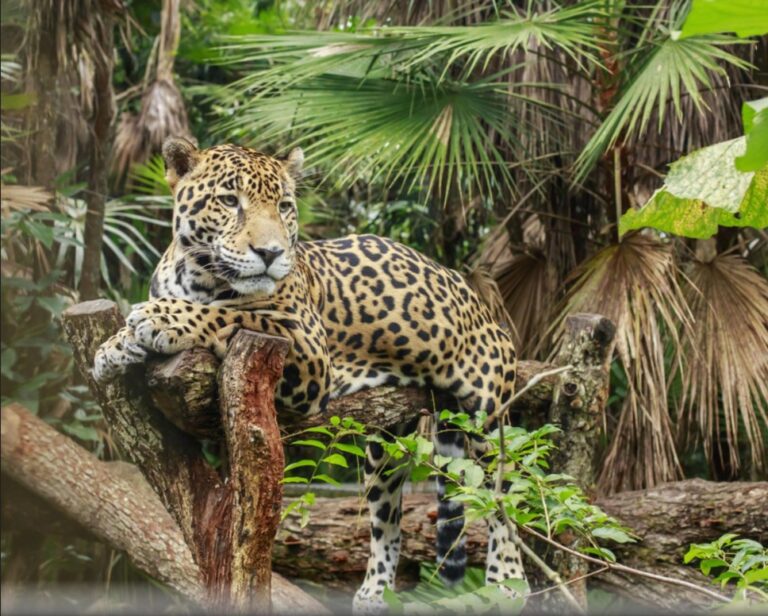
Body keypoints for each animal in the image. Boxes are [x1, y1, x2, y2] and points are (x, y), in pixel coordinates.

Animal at [93, 137, 528, 613]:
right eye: (229, 201)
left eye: (284, 206)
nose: (271, 253)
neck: (198, 276)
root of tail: (481, 304)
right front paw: (112, 347)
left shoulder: (304, 344)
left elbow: (230, 315)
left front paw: (161, 318)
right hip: (387, 445)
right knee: (387, 518)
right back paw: (374, 592)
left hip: (488, 417)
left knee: (504, 497)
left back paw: (508, 579)